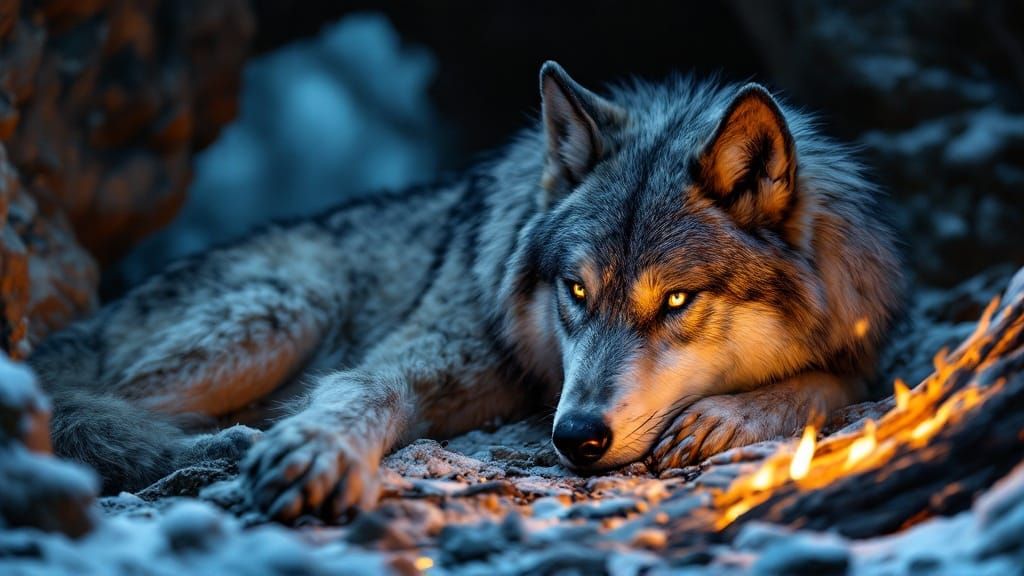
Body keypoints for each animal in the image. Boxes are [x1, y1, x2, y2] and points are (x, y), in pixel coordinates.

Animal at [29, 61, 902, 522]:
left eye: (678, 302)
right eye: (575, 291)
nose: (575, 436)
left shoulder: (862, 339)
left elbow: (833, 382)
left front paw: (727, 417)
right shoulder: (405, 359)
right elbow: (362, 394)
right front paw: (317, 451)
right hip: (288, 308)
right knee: (81, 412)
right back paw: (223, 450)